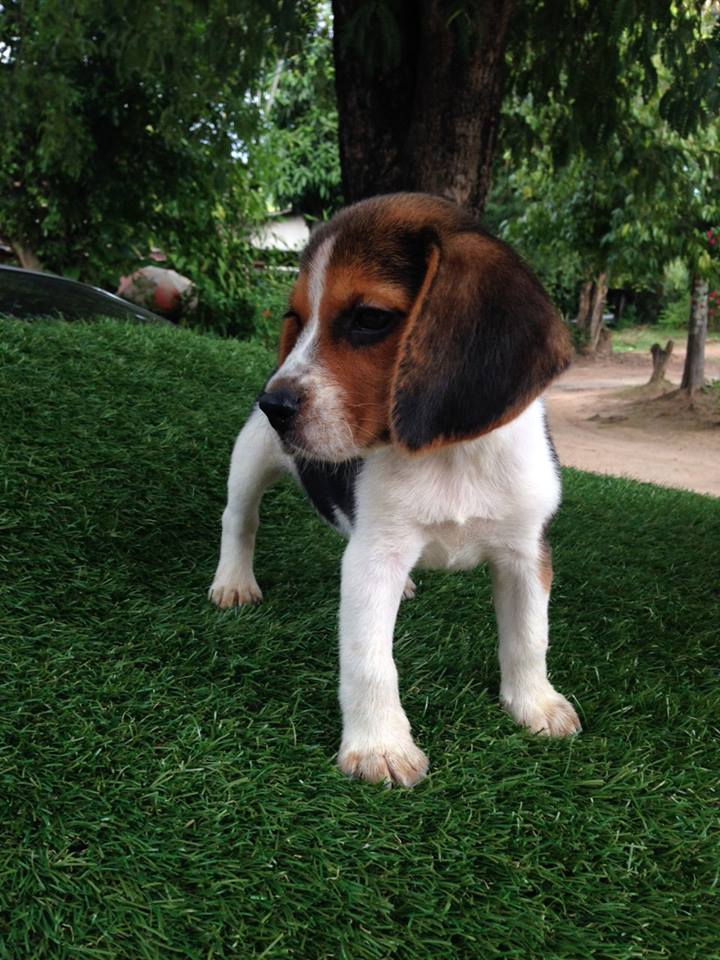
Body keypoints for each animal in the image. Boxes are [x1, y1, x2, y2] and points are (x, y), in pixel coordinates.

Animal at [210, 192, 580, 787]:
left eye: (369, 319)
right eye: (296, 320)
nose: (273, 404)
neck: (450, 454)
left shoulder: (527, 551)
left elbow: (529, 637)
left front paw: (535, 705)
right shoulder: (374, 558)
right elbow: (370, 661)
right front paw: (379, 747)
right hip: (251, 460)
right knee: (239, 520)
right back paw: (234, 581)